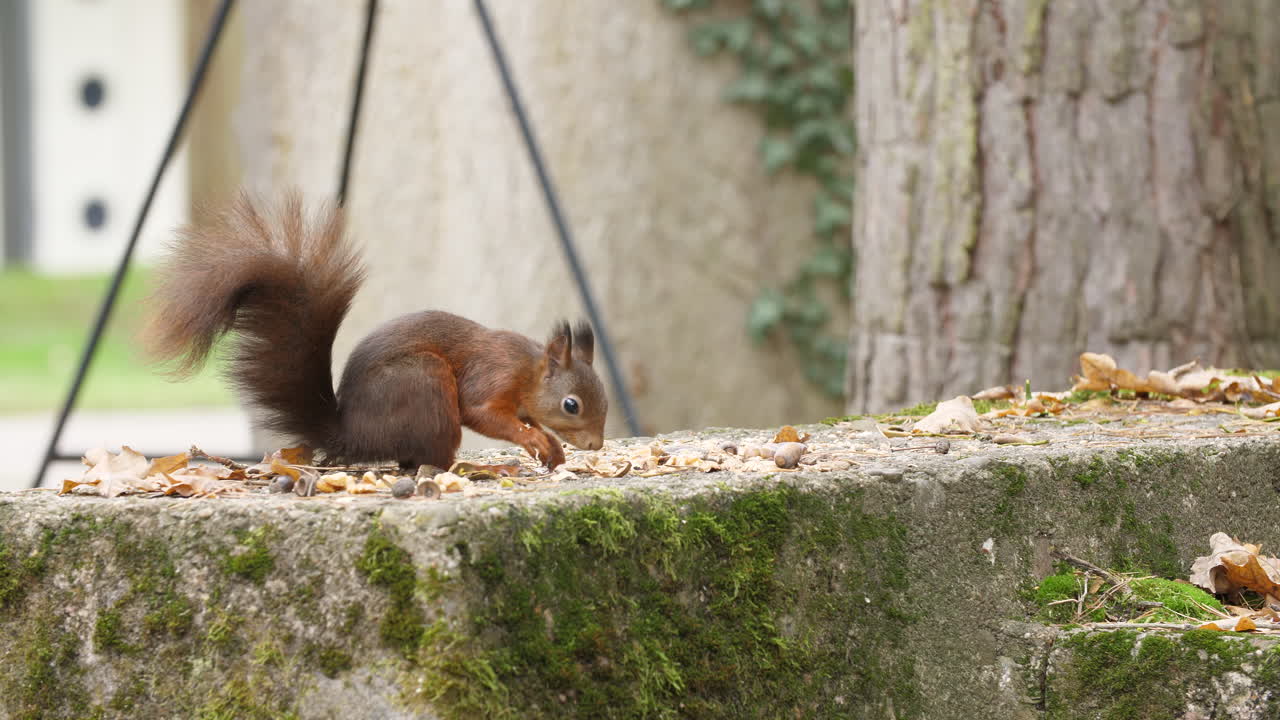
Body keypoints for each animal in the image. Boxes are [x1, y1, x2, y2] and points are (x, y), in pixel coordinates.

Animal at [142, 191, 607, 471]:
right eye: (571, 405)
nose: (597, 446)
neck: (529, 370)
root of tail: (353, 436)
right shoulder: (494, 375)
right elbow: (483, 411)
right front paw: (532, 439)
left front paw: (552, 447)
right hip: (423, 382)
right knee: (431, 461)